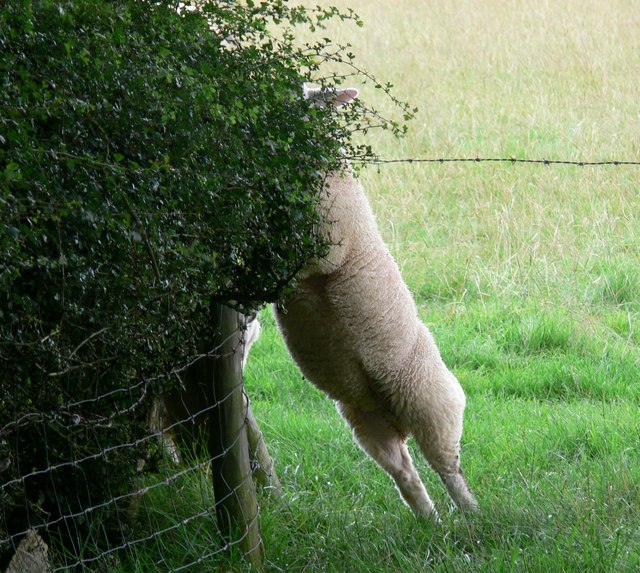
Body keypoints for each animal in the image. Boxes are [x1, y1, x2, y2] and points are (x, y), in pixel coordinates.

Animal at [272, 85, 478, 520]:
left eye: (316, 99)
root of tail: (396, 417)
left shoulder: (326, 244)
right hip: (366, 423)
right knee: (406, 473)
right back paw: (430, 521)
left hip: (432, 403)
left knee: (448, 467)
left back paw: (471, 513)